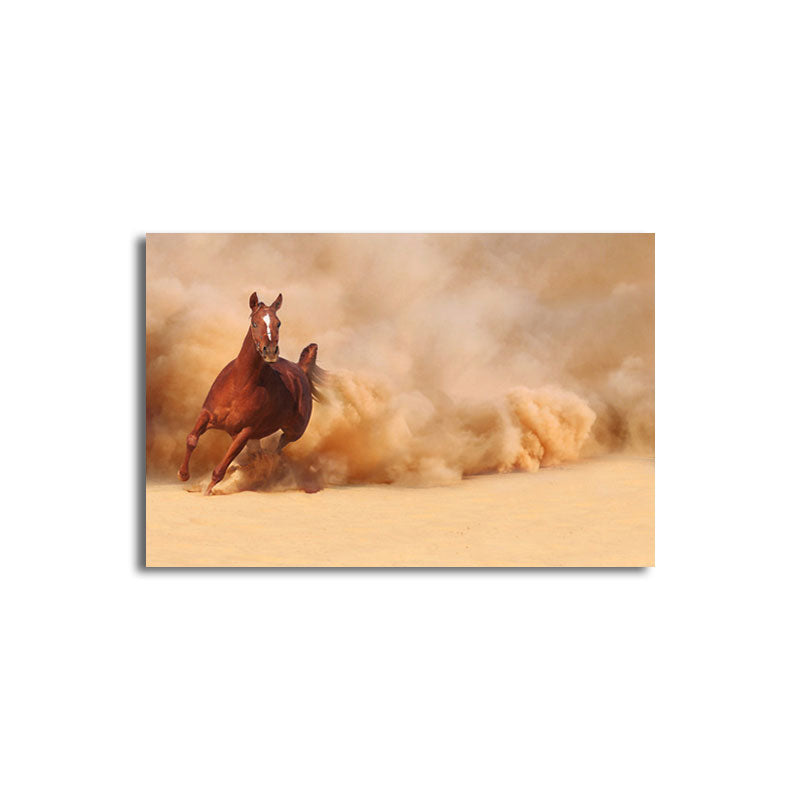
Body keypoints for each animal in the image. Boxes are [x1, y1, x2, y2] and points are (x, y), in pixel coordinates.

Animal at [178, 291, 324, 495]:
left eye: (278, 323)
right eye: (255, 323)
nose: (270, 351)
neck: (239, 385)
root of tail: (300, 369)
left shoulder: (245, 431)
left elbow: (221, 467)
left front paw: (208, 491)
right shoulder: (207, 414)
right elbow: (191, 439)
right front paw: (183, 474)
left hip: (293, 431)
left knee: (277, 449)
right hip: (257, 438)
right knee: (262, 454)